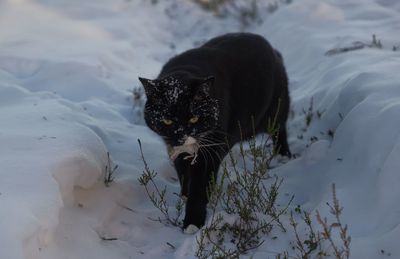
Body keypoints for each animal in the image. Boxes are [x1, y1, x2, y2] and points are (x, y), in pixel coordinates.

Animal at [139, 32, 290, 234]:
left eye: (194, 118)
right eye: (167, 121)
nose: (181, 135)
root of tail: (273, 50)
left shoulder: (210, 151)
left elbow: (199, 186)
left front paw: (193, 223)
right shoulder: (176, 149)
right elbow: (183, 174)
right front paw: (184, 196)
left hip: (275, 110)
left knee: (280, 129)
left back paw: (283, 155)